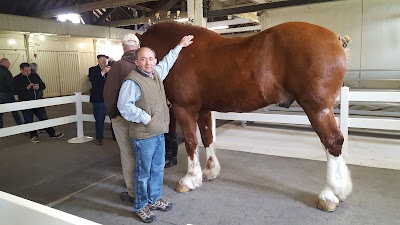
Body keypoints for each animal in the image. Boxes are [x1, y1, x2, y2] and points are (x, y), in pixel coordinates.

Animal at [136, 20, 352, 211]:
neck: (181, 51)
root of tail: (336, 38)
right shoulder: (204, 110)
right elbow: (207, 138)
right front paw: (210, 171)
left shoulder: (184, 108)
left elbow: (191, 142)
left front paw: (189, 180)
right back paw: (340, 190)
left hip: (317, 109)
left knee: (332, 142)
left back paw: (329, 195)